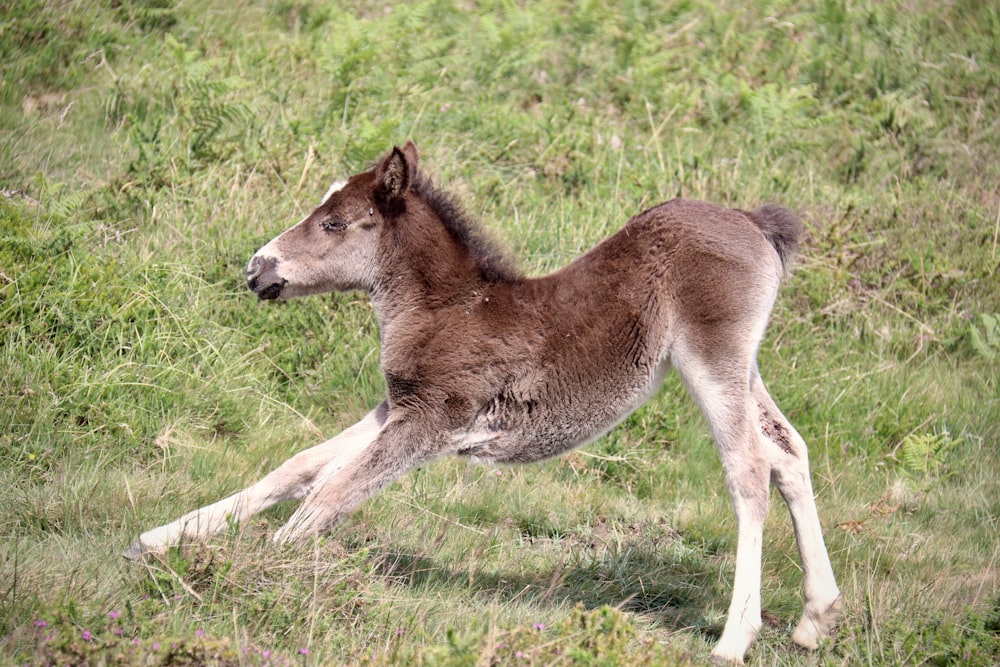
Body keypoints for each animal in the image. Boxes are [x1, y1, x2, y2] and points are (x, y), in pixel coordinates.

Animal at [127, 141, 844, 664]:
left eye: (332, 222)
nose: (257, 269)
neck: (445, 308)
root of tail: (752, 220)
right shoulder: (397, 407)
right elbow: (301, 466)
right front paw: (161, 540)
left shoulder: (434, 419)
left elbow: (335, 491)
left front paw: (248, 568)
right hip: (744, 369)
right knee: (789, 452)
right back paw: (815, 617)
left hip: (712, 359)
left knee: (748, 470)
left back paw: (734, 638)